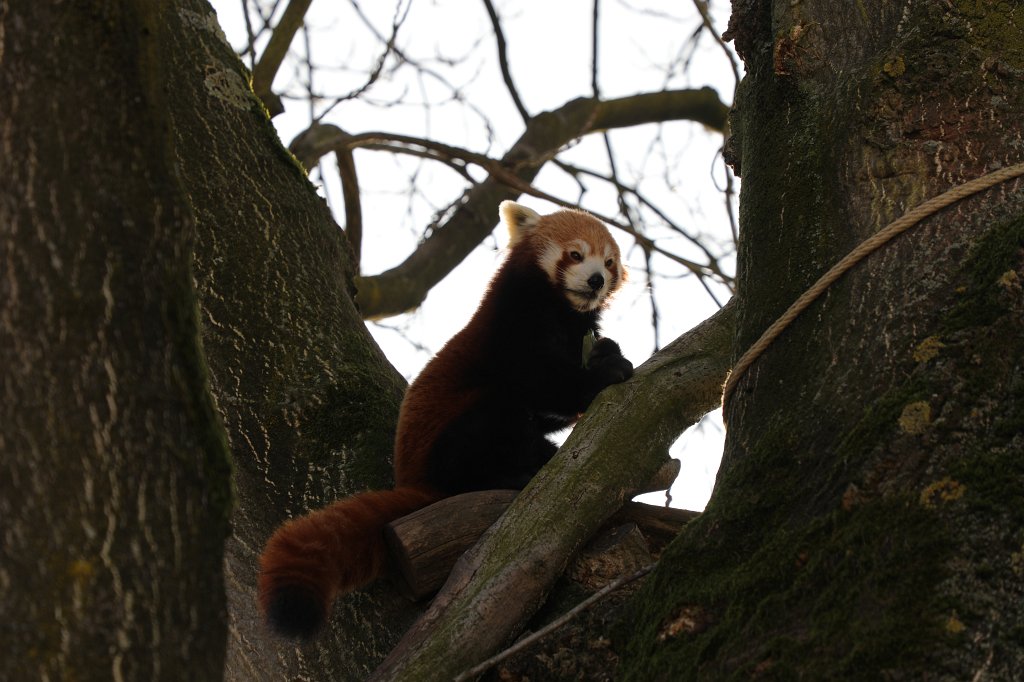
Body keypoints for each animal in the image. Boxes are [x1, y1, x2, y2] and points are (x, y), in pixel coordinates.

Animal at [258, 201, 633, 639]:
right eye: (575, 254)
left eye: (609, 263)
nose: (596, 280)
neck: (560, 312)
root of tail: (416, 482)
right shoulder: (512, 331)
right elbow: (541, 382)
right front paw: (607, 373)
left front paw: (608, 351)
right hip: (456, 436)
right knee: (493, 420)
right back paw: (510, 475)